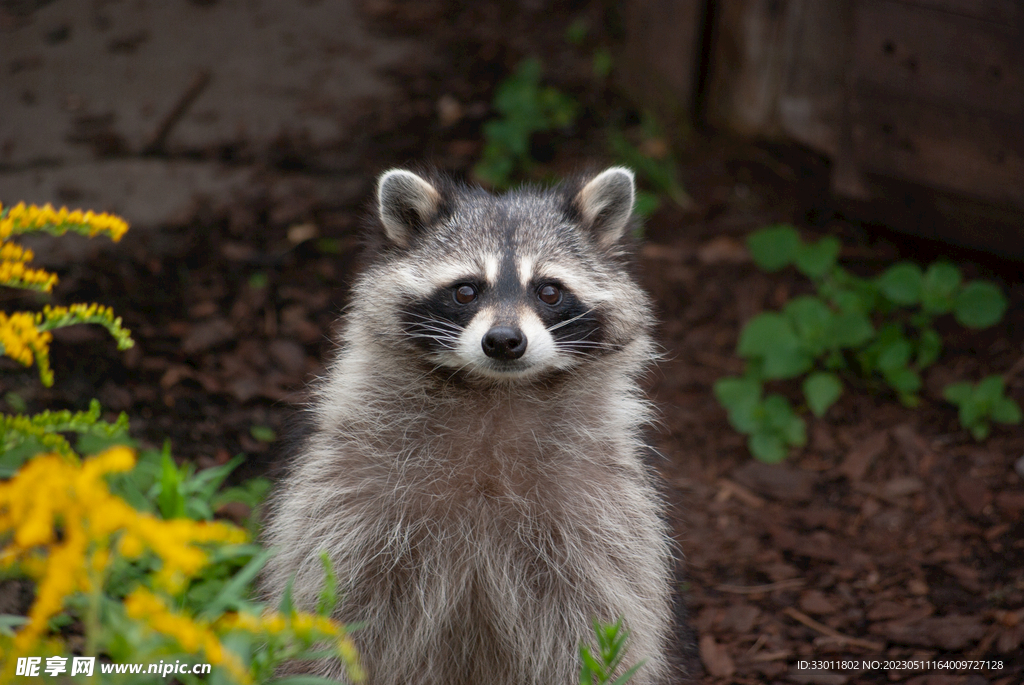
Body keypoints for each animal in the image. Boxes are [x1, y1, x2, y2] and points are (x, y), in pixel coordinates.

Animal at [264, 166, 679, 683]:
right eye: (465, 290)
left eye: (549, 291)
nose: (503, 341)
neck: (495, 392)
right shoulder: (351, 491)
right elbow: (333, 605)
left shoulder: (599, 508)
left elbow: (599, 620)